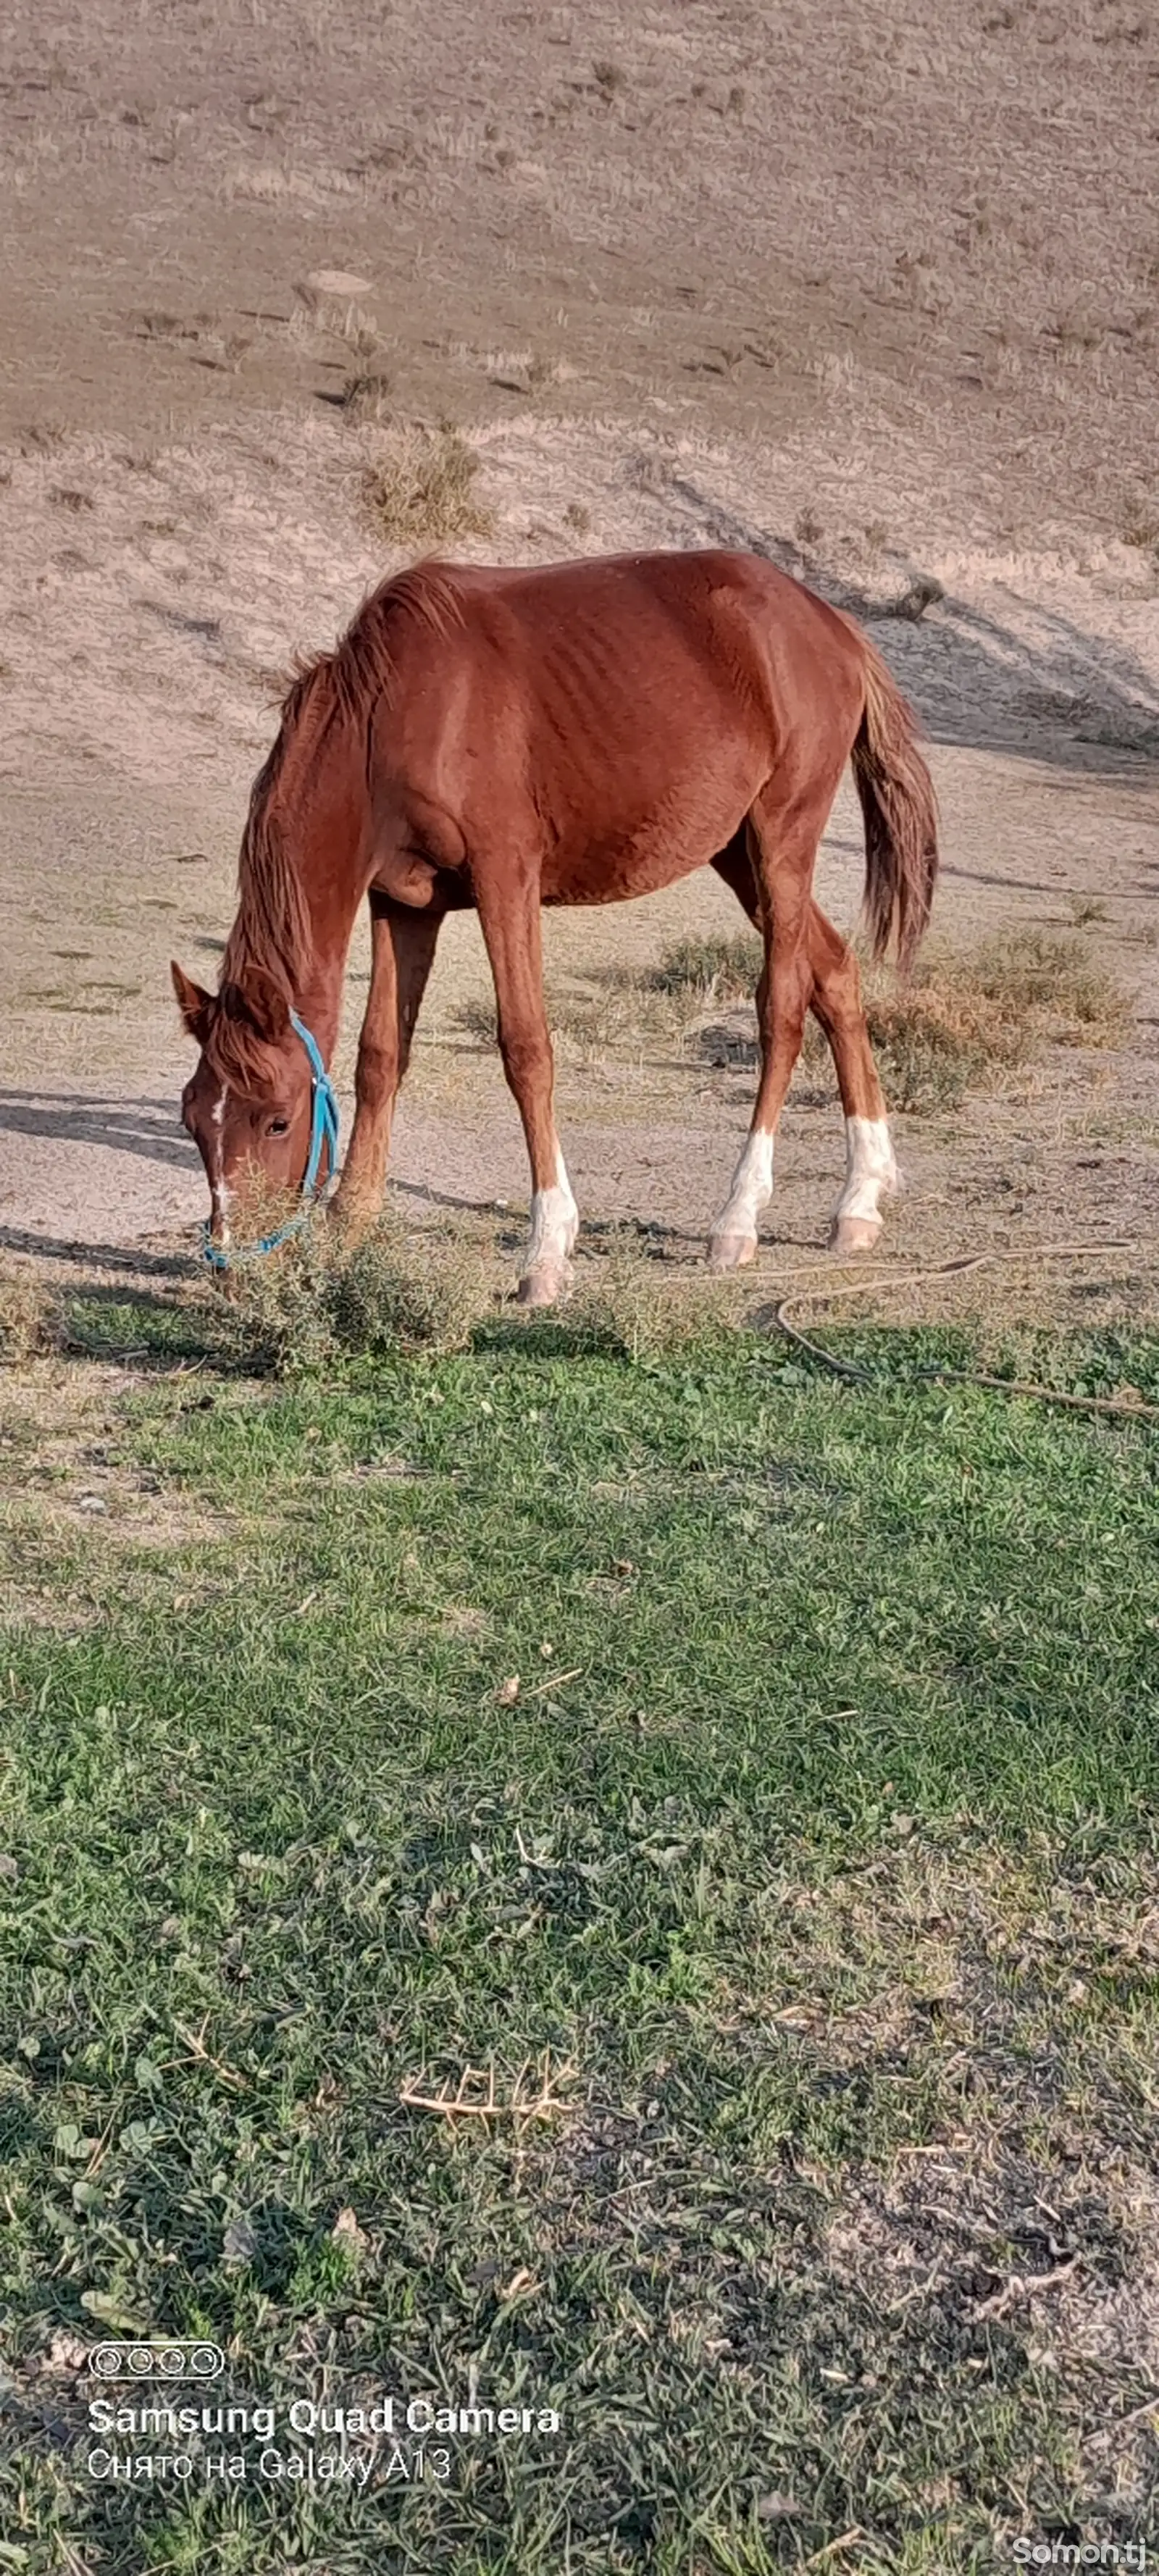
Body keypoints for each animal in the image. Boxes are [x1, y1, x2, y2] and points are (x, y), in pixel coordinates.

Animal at [172, 551, 937, 1298]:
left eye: (277, 1119)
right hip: (738, 853)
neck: (394, 713)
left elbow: (525, 1050)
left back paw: (738, 1216)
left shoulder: (506, 878)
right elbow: (380, 1056)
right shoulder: (404, 904)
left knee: (781, 1007)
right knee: (835, 971)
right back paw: (860, 1199)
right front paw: (352, 1222)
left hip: (781, 843)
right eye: (192, 1118)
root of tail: (831, 625)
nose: (232, 1271)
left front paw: (545, 1248)